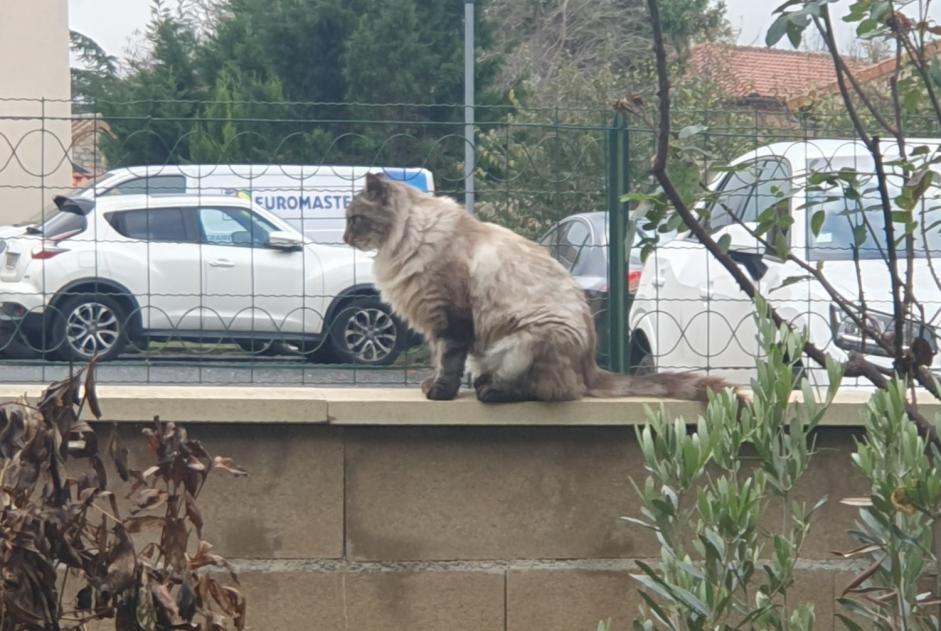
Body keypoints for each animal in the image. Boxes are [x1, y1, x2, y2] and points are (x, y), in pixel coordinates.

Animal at [346, 172, 736, 404]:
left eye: (355, 219)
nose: (345, 237)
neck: (404, 242)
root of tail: (591, 366)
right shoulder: (435, 319)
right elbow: (437, 359)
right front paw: (432, 385)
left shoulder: (451, 318)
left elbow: (449, 360)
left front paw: (440, 393)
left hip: (525, 340)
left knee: (551, 391)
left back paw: (491, 392)